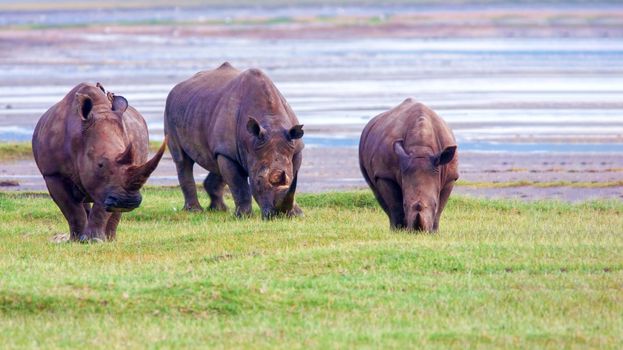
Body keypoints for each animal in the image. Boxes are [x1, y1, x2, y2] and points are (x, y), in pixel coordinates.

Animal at [33, 82, 166, 242]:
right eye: (100, 164)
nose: (127, 202)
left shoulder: (106, 187)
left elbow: (101, 208)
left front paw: (94, 240)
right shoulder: (53, 174)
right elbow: (72, 209)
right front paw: (77, 240)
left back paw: (109, 239)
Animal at [165, 61, 304, 217]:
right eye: (258, 182)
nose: (278, 215)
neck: (271, 121)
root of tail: (178, 86)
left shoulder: (295, 148)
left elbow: (292, 174)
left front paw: (297, 213)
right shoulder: (229, 152)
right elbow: (238, 185)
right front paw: (244, 216)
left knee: (215, 160)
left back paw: (219, 209)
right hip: (170, 111)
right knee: (182, 160)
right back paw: (194, 211)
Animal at [358, 98, 460, 231]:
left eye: (434, 204)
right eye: (405, 204)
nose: (418, 231)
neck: (421, 149)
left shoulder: (450, 177)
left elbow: (440, 207)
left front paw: (434, 231)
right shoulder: (385, 174)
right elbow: (395, 205)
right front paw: (398, 230)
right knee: (376, 191)